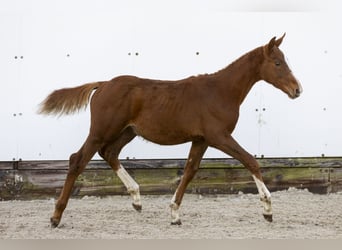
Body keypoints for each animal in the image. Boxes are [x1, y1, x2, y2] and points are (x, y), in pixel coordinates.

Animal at [38, 34, 302, 228]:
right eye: (278, 63)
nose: (297, 89)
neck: (220, 91)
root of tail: (102, 85)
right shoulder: (219, 137)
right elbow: (250, 161)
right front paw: (267, 209)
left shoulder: (201, 140)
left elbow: (189, 171)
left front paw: (175, 214)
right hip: (101, 131)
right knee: (77, 160)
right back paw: (56, 217)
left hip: (128, 131)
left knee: (109, 153)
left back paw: (136, 198)